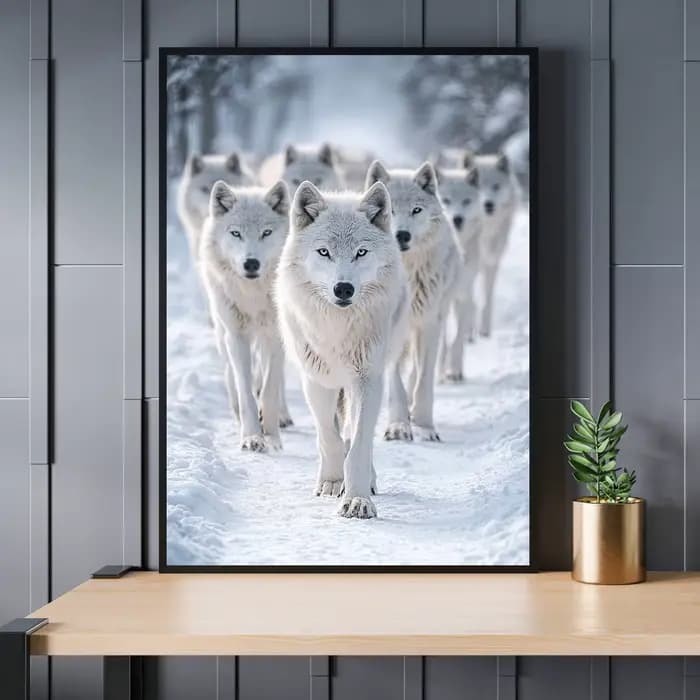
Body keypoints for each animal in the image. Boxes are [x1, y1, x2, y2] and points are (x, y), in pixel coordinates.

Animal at [200, 179, 290, 452]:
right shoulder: (236, 336)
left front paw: (271, 437)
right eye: (236, 233)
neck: (253, 295)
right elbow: (245, 388)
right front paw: (251, 436)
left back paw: (283, 417)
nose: (251, 263)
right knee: (231, 374)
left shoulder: (275, 335)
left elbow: (269, 389)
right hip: (223, 332)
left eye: (266, 233)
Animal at [275, 181, 409, 518]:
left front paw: (358, 499)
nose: (343, 288)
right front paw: (333, 483)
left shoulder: (367, 380)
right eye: (324, 251)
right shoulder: (317, 379)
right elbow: (329, 437)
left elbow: (358, 444)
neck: (337, 329)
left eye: (361, 252)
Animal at [365, 160, 460, 442]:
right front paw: (398, 425)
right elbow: (395, 379)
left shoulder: (430, 323)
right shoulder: (391, 327)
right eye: (390, 210)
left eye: (416, 210)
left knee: (417, 369)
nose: (402, 235)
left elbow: (424, 378)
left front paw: (425, 426)